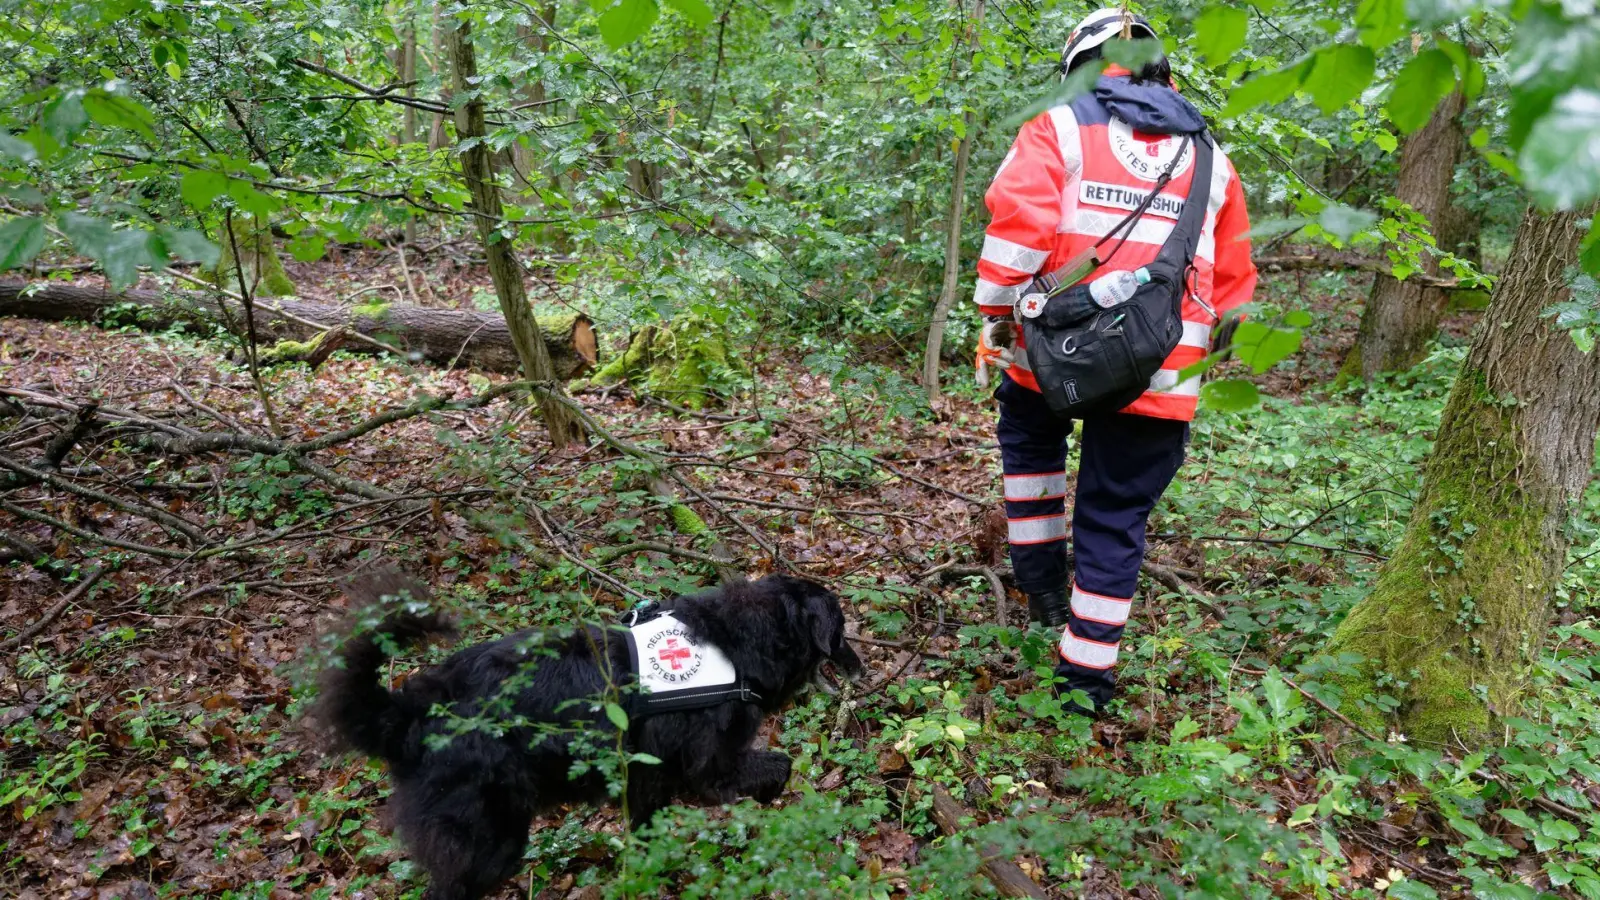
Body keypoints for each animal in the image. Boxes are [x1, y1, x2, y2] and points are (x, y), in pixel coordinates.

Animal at [312, 570, 864, 896]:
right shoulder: (711, 767)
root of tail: (411, 711)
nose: (862, 667)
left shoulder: (645, 781)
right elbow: (778, 766)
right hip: (490, 838)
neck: (739, 640)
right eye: (841, 629)